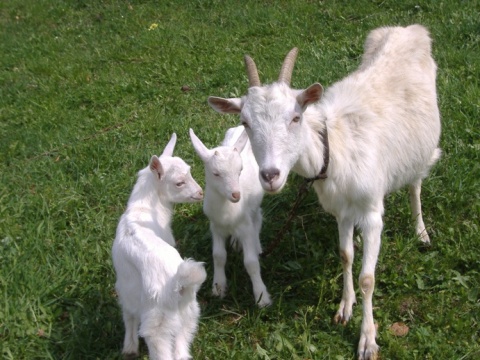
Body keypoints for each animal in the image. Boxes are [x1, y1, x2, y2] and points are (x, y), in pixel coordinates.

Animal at [208, 23, 440, 358]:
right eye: (245, 122)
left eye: (296, 117)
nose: (270, 175)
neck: (334, 145)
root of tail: (409, 28)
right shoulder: (341, 210)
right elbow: (345, 255)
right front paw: (345, 307)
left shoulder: (372, 210)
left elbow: (368, 278)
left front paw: (367, 339)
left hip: (422, 147)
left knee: (416, 183)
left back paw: (421, 231)